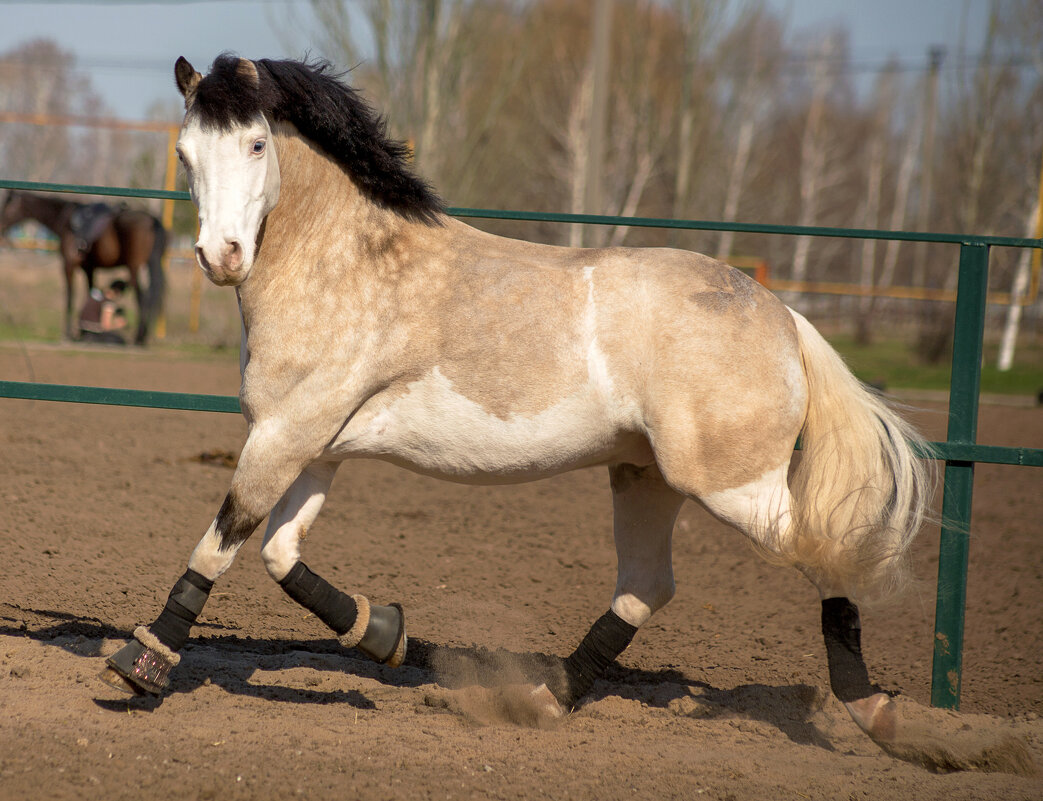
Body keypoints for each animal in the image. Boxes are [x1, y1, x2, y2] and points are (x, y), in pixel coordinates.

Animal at [1, 192, 166, 346]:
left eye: (7, 207)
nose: (1, 227)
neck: (67, 222)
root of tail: (152, 220)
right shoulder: (89, 268)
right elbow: (90, 292)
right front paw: (80, 332)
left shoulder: (68, 265)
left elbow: (70, 296)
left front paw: (68, 334)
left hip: (133, 267)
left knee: (143, 298)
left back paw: (139, 339)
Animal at [103, 54, 938, 763]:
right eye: (185, 153)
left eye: (253, 144)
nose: (221, 257)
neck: (348, 263)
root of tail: (783, 314)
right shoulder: (317, 447)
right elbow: (279, 555)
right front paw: (387, 633)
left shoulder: (284, 435)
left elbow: (220, 541)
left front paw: (143, 662)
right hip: (646, 477)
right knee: (646, 587)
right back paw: (537, 698)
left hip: (733, 487)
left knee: (825, 551)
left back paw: (879, 716)